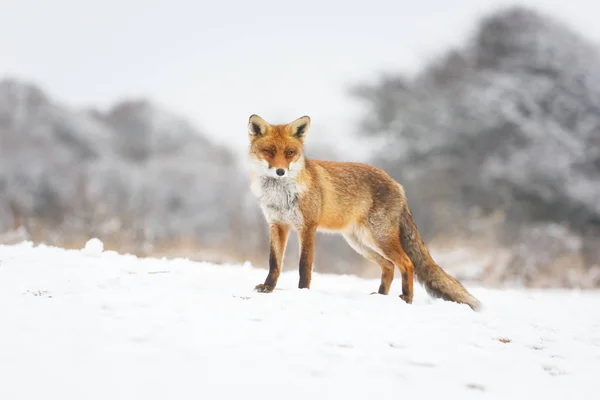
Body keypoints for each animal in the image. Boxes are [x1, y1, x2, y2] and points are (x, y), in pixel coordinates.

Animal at [246, 114, 480, 310]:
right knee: (389, 266)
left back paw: (407, 298)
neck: (280, 195)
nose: (280, 171)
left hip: (379, 237)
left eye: (289, 153)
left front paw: (303, 292)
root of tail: (398, 185)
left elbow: (304, 266)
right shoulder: (277, 225)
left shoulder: (308, 227)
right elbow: (274, 263)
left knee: (407, 263)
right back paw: (381, 296)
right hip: (360, 242)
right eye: (269, 151)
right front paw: (268, 288)